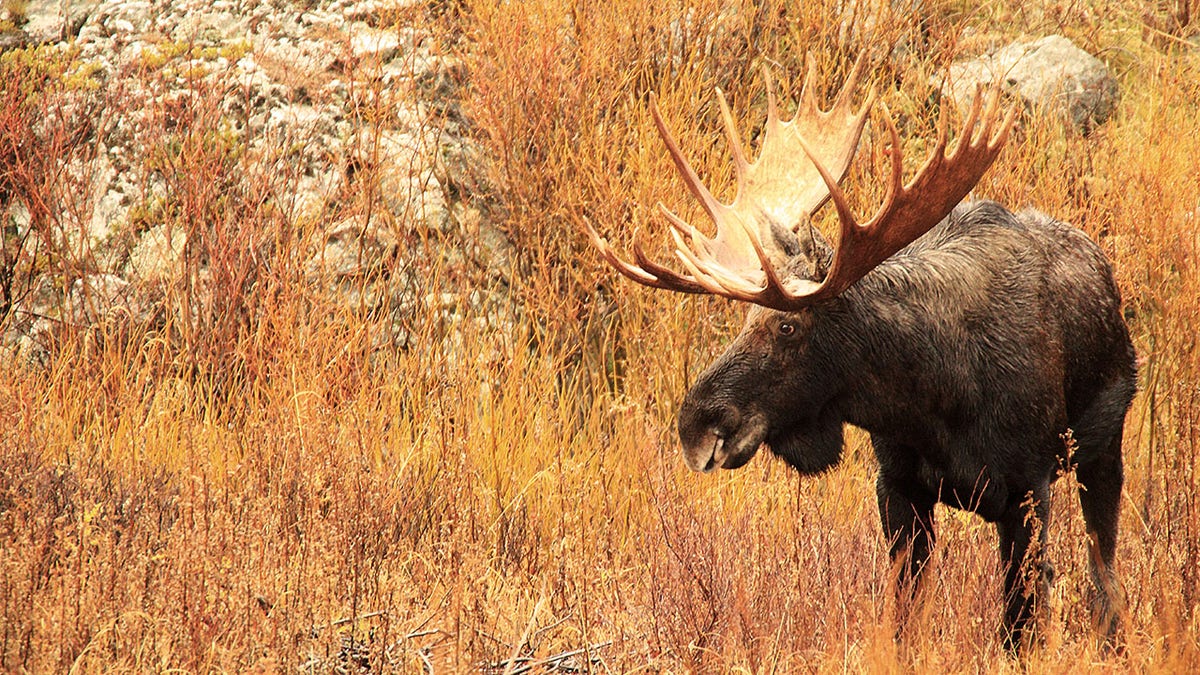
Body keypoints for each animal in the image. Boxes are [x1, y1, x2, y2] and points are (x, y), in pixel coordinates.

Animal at [588, 59, 1132, 653]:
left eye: (787, 325)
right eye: (744, 319)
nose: (695, 426)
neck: (937, 400)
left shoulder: (1027, 489)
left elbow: (1021, 620)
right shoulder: (896, 486)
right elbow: (902, 613)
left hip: (1104, 446)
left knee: (1104, 569)